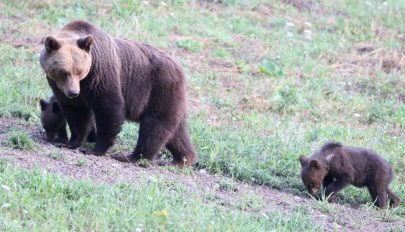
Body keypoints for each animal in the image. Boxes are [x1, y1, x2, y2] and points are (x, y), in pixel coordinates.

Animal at [39, 19, 196, 165]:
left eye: (79, 70)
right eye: (64, 72)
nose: (73, 92)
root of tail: (180, 69)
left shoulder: (101, 75)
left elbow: (108, 108)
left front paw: (95, 149)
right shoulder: (60, 86)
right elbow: (76, 112)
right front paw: (71, 142)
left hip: (159, 89)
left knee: (154, 125)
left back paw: (131, 157)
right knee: (176, 132)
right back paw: (182, 159)